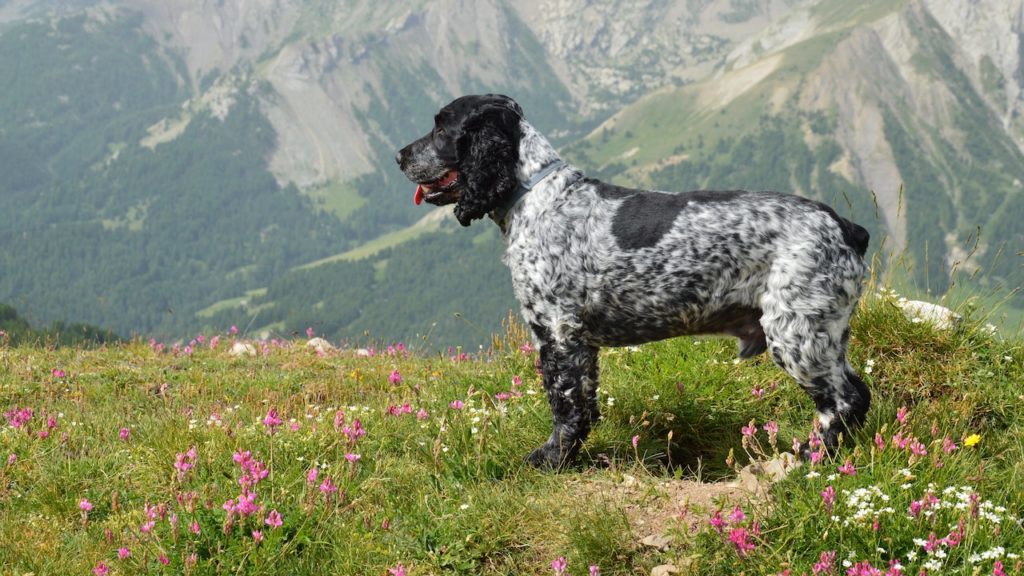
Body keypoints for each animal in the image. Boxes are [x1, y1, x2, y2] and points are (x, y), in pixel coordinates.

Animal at [395, 91, 868, 463]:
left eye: (441, 129)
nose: (399, 156)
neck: (537, 196)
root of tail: (847, 228)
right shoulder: (579, 343)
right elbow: (584, 403)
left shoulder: (558, 332)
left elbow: (564, 406)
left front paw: (551, 459)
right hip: (825, 335)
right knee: (857, 393)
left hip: (796, 333)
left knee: (842, 401)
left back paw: (814, 456)